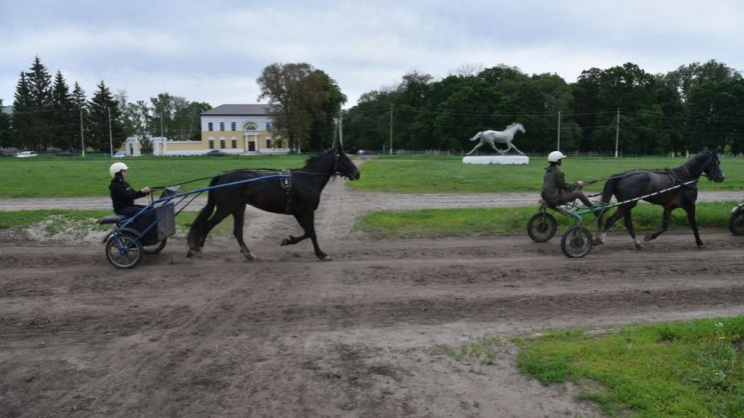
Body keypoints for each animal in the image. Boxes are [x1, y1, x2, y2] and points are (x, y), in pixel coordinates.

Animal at [186, 145, 360, 260]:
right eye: (346, 159)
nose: (357, 174)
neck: (308, 180)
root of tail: (223, 176)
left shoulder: (301, 212)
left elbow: (308, 232)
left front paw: (289, 240)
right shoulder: (304, 211)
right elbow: (311, 233)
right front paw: (320, 254)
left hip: (238, 208)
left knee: (237, 232)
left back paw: (248, 254)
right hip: (225, 208)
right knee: (207, 226)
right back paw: (196, 249)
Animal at [596, 149, 724, 248]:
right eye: (717, 162)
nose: (722, 177)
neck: (685, 178)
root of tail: (622, 175)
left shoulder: (669, 207)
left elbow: (665, 227)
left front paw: (649, 236)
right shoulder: (690, 205)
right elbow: (693, 224)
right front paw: (700, 243)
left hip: (628, 205)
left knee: (628, 223)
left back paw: (638, 243)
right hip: (627, 204)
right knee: (611, 219)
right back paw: (601, 239)